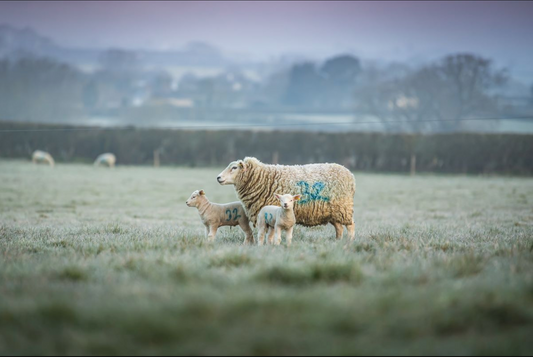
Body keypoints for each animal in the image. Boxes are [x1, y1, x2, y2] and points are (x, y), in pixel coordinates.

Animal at [216, 156, 358, 239]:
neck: (262, 178)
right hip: (334, 212)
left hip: (344, 208)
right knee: (339, 228)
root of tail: (349, 174)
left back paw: (348, 243)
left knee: (351, 227)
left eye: (234, 168)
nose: (218, 177)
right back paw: (337, 242)